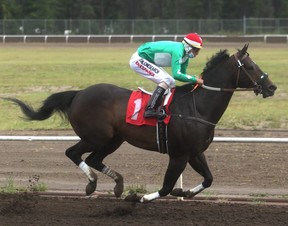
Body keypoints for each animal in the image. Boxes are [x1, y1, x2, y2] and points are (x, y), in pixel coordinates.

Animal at [5, 43, 276, 201]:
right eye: (250, 66)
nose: (271, 87)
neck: (197, 106)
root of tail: (79, 93)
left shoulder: (194, 152)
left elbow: (208, 179)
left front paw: (184, 191)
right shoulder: (178, 154)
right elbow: (165, 186)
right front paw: (141, 198)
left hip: (114, 139)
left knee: (93, 159)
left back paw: (116, 185)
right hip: (96, 136)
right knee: (73, 153)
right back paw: (92, 183)